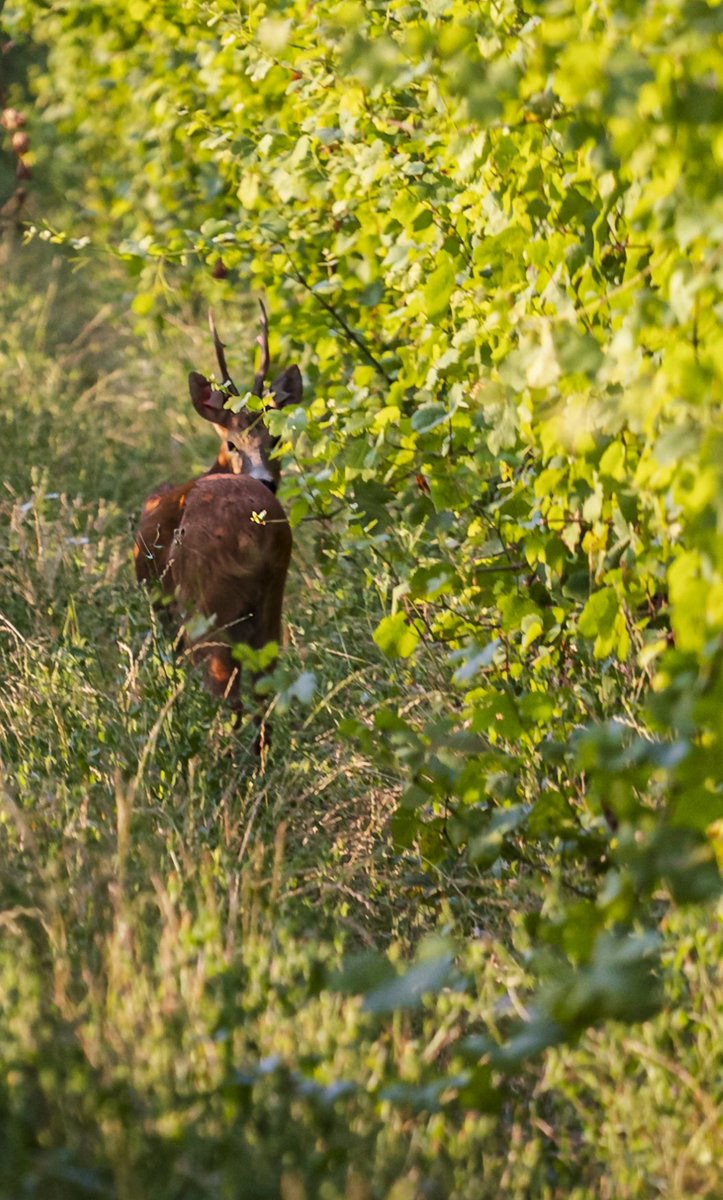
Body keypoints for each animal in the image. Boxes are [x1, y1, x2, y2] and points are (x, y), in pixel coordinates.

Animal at [134, 302, 303, 747]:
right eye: (232, 442)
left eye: (275, 440)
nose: (265, 479)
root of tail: (254, 534)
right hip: (270, 601)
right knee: (262, 687)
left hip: (205, 606)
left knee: (224, 687)